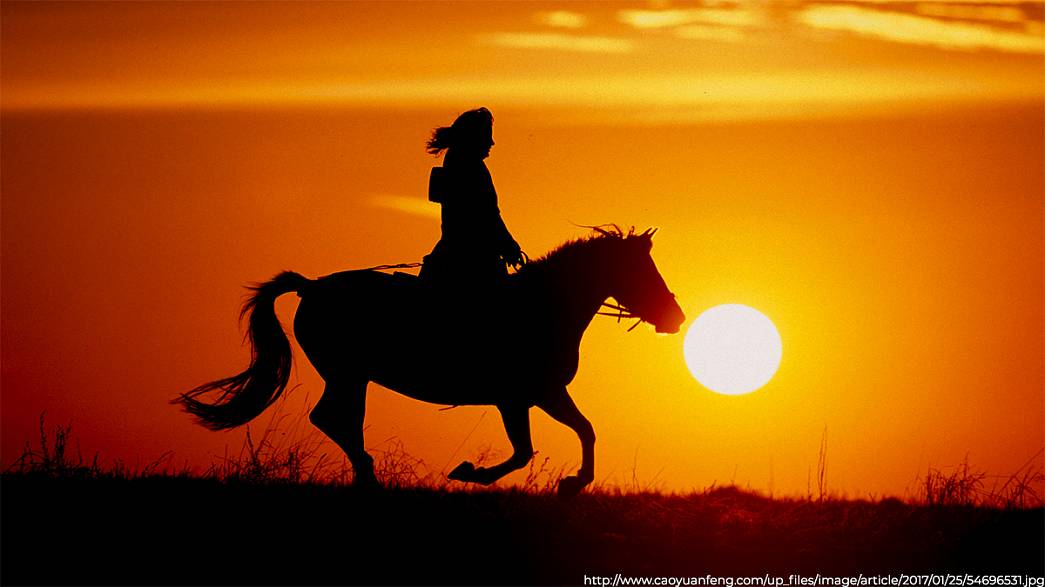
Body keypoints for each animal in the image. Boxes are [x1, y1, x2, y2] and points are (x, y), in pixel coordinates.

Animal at [175, 226, 685, 495]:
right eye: (642, 271)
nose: (676, 318)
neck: (543, 306)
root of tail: (312, 286)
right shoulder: (522, 397)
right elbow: (528, 450)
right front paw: (474, 472)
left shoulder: (541, 394)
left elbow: (583, 430)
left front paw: (574, 481)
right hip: (346, 373)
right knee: (332, 418)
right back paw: (369, 476)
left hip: (350, 376)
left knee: (338, 419)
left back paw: (366, 475)